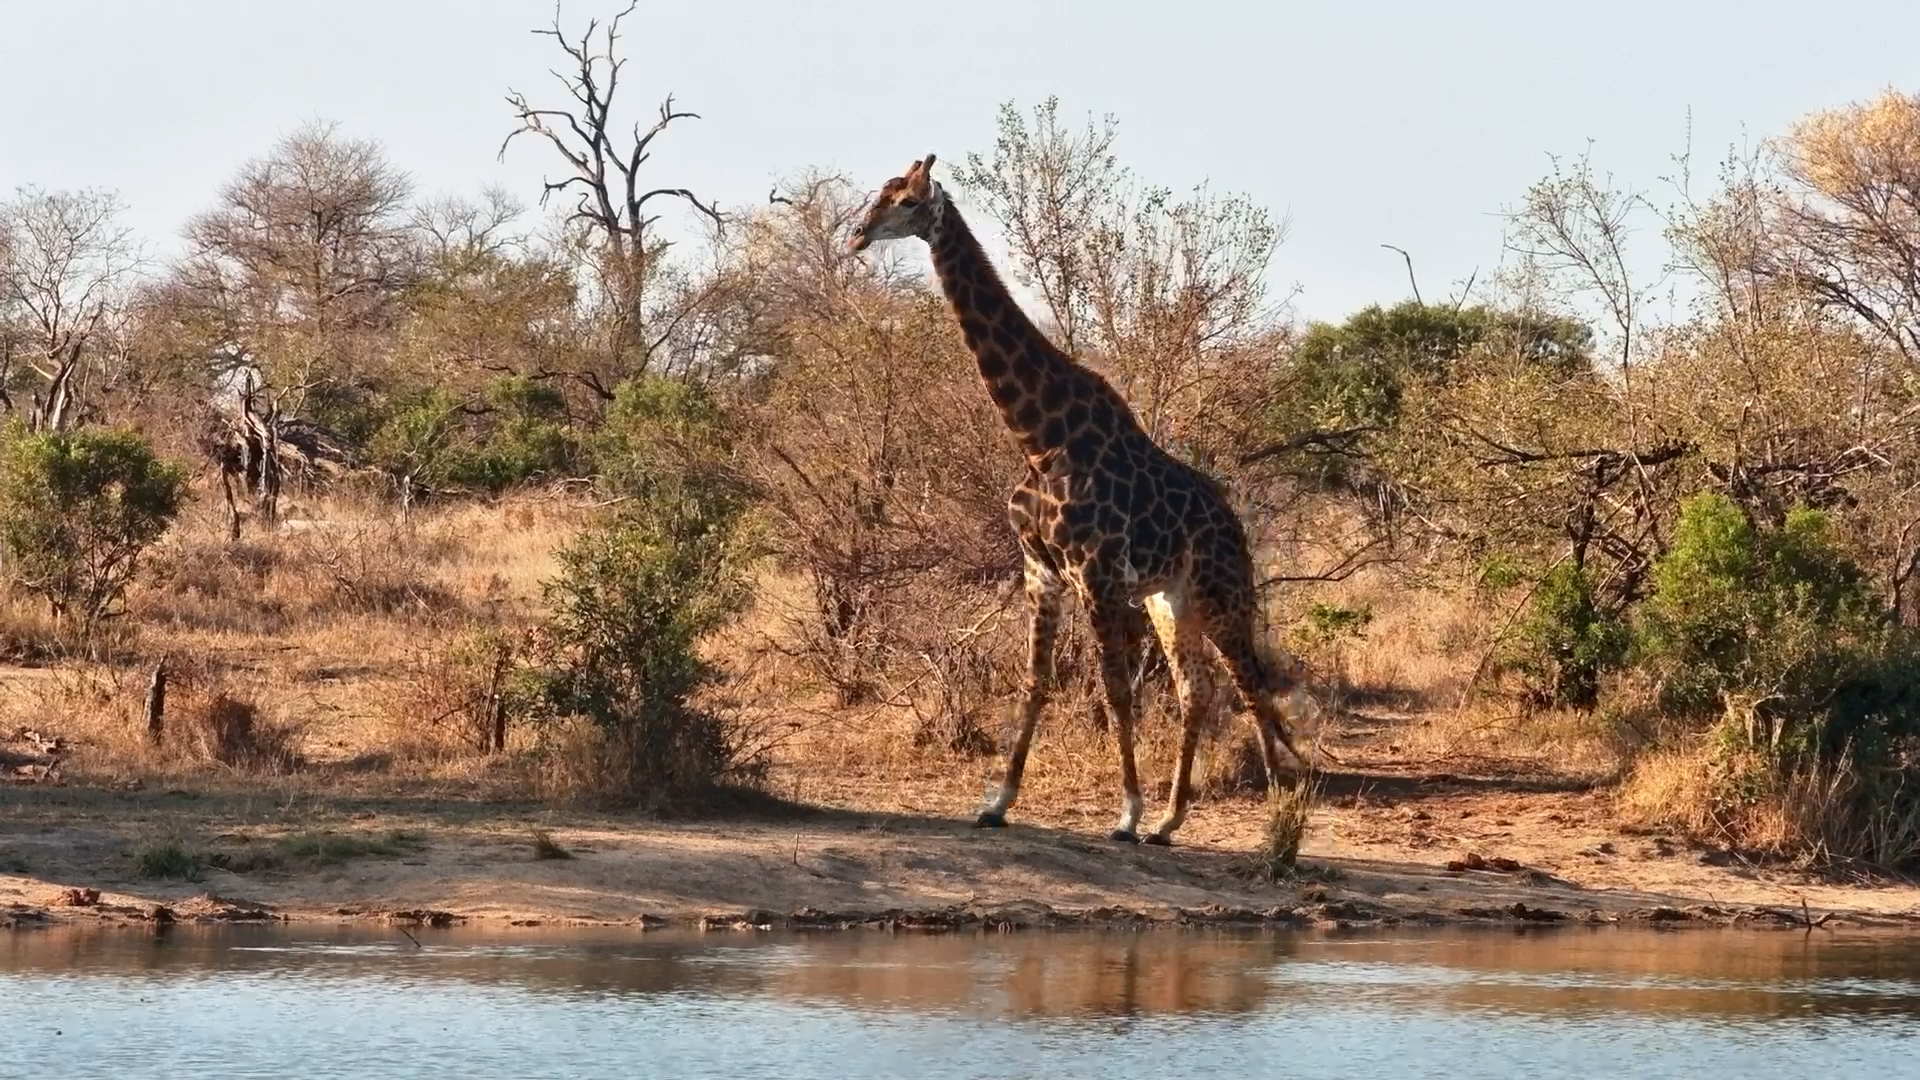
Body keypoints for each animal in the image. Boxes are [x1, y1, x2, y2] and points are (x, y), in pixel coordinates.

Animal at [849, 153, 1324, 846]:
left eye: (908, 201)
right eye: (880, 193)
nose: (858, 235)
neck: (1040, 440)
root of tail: (1236, 524)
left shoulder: (1095, 574)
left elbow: (1116, 690)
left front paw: (1125, 813)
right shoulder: (1041, 570)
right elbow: (1035, 682)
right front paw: (998, 802)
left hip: (1222, 590)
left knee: (1250, 684)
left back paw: (1277, 814)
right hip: (1169, 598)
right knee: (1197, 689)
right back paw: (1171, 821)